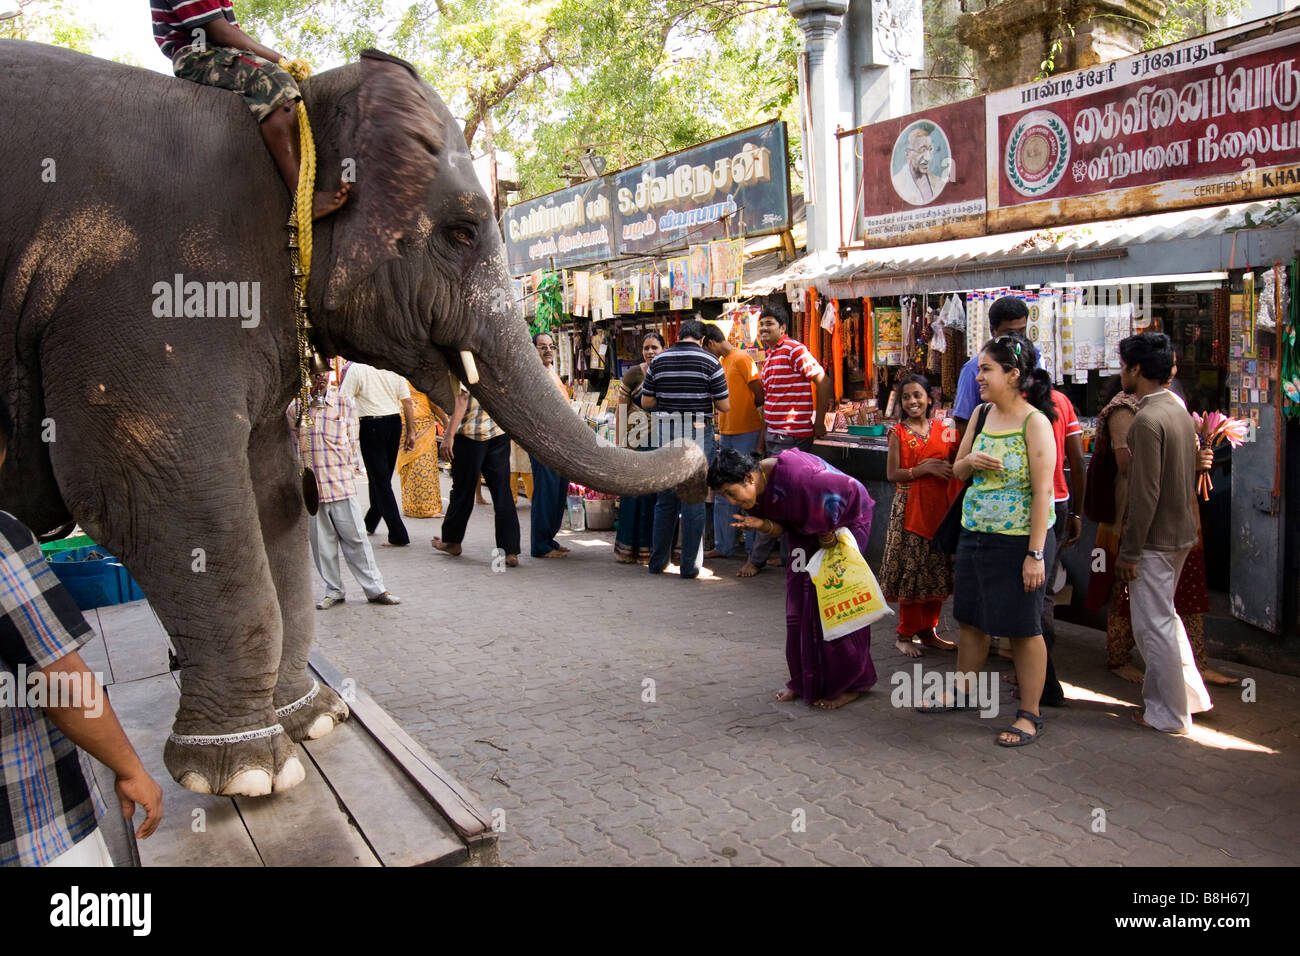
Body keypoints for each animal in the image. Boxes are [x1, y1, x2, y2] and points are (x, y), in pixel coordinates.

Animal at [0, 41, 707, 796]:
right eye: (460, 232)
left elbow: (273, 491)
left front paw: (311, 720)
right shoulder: (149, 295)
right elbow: (148, 489)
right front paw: (249, 773)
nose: (694, 447)